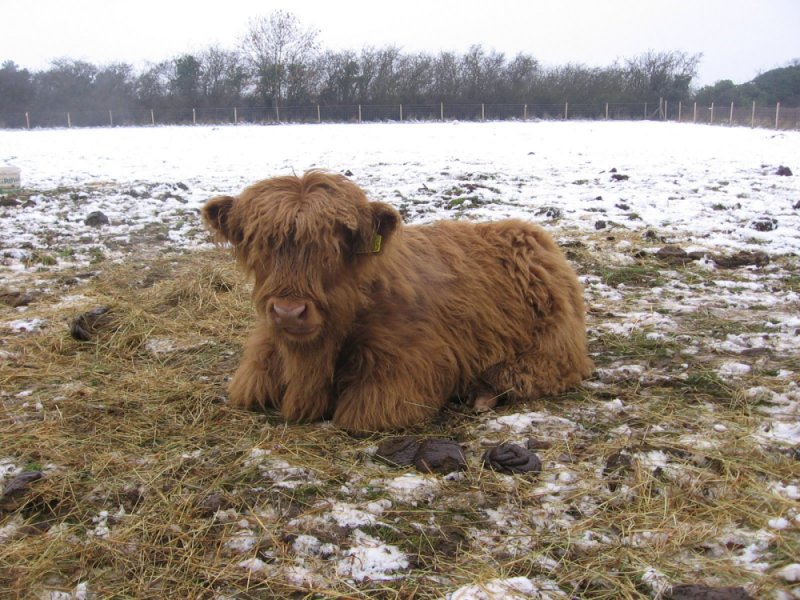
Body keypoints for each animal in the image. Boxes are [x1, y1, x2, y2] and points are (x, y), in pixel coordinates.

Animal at [205, 172, 592, 432]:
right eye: (258, 242)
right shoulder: (254, 373)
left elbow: (359, 416)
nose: (289, 312)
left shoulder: (403, 374)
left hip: (555, 341)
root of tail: (530, 233)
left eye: (336, 244)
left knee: (545, 369)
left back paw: (484, 391)